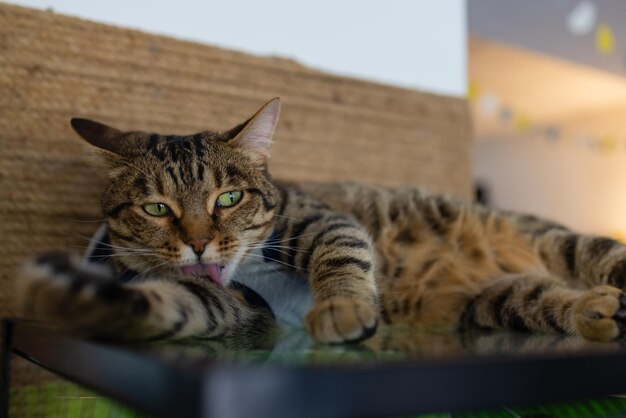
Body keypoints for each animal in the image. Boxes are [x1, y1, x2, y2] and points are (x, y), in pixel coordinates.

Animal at [13, 97, 624, 342]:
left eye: (228, 199)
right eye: (157, 208)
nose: (201, 244)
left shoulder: (320, 220)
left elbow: (342, 257)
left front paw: (342, 309)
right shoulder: (236, 307)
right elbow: (175, 302)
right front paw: (76, 298)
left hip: (555, 240)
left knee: (598, 255)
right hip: (496, 299)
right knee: (545, 300)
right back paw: (596, 310)